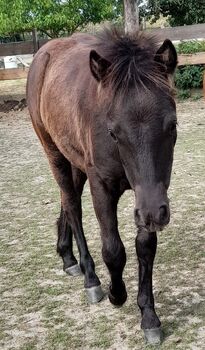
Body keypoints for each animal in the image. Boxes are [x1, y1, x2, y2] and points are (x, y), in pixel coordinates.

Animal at [26, 28, 178, 344]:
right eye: (113, 132)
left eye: (172, 126)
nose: (153, 215)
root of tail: (43, 53)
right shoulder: (102, 185)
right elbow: (113, 249)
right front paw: (116, 294)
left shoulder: (152, 193)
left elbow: (145, 248)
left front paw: (149, 316)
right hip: (54, 154)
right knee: (73, 206)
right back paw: (90, 277)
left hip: (75, 161)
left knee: (66, 198)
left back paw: (67, 256)